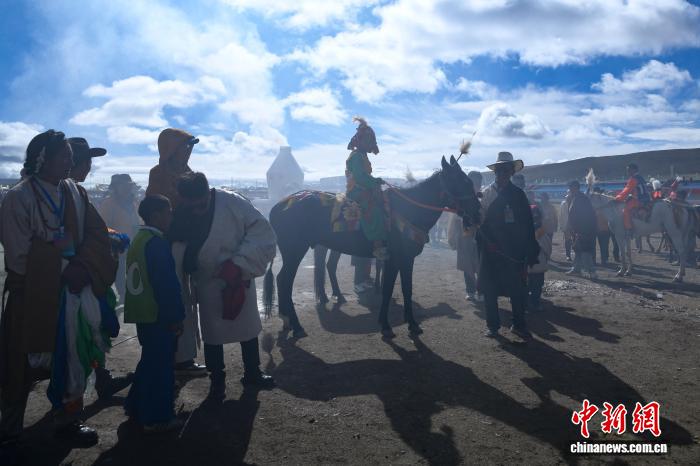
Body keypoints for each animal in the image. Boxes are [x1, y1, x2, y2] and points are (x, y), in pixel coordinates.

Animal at [263, 156, 480, 338]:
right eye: (462, 182)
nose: (477, 213)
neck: (408, 210)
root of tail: (278, 206)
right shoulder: (395, 259)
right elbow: (388, 289)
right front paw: (387, 325)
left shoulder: (405, 259)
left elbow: (406, 289)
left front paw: (410, 324)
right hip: (294, 252)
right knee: (284, 281)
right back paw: (296, 325)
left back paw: (291, 319)